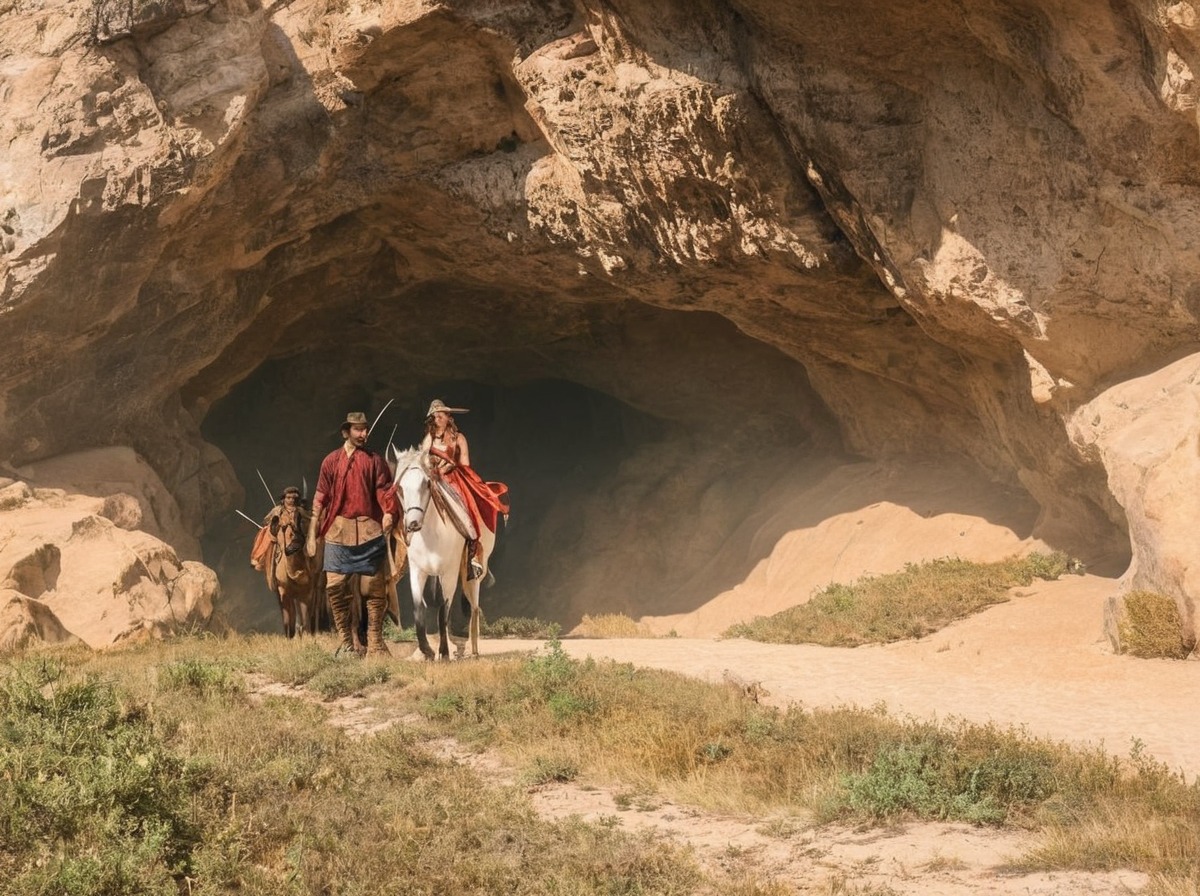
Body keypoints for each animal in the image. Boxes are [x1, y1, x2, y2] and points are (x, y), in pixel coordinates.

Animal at [388, 446, 492, 657]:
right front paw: (427, 650)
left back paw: (473, 650)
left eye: (427, 483)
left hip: (474, 573)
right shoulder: (418, 572)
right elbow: (419, 610)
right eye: (400, 487)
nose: (413, 523)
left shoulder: (449, 573)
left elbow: (444, 611)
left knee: (474, 606)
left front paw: (444, 652)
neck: (431, 537)